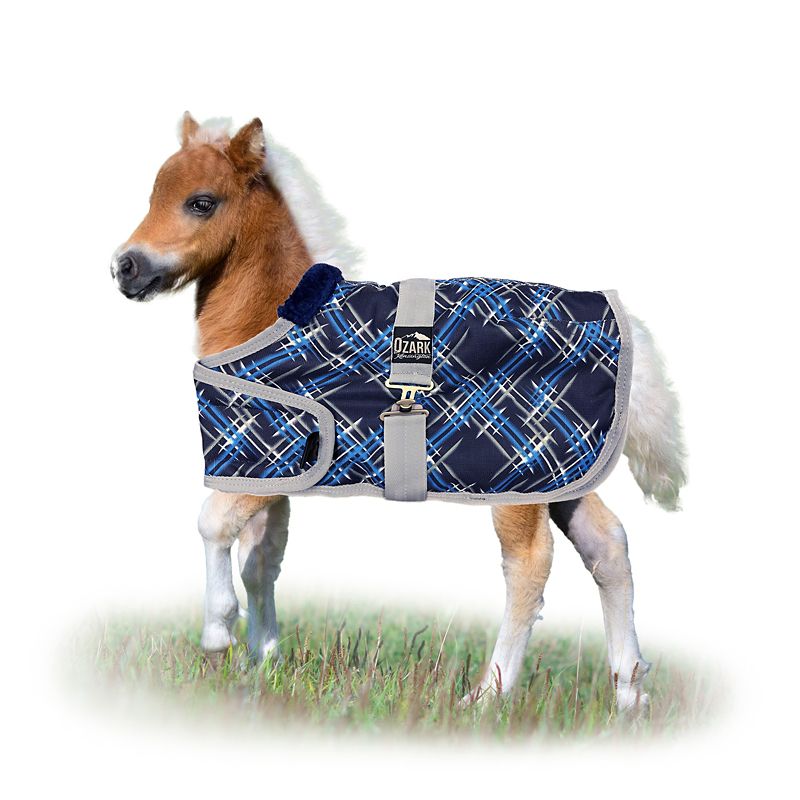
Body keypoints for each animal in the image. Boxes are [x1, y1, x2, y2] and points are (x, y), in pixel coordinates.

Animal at [110, 113, 686, 711]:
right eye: (153, 195)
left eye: (201, 202)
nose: (125, 267)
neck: (271, 314)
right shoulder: (269, 472)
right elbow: (262, 557)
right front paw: (261, 662)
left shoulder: (278, 452)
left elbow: (213, 524)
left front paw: (218, 636)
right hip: (565, 471)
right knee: (607, 544)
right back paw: (629, 695)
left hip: (518, 477)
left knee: (529, 562)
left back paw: (488, 697)